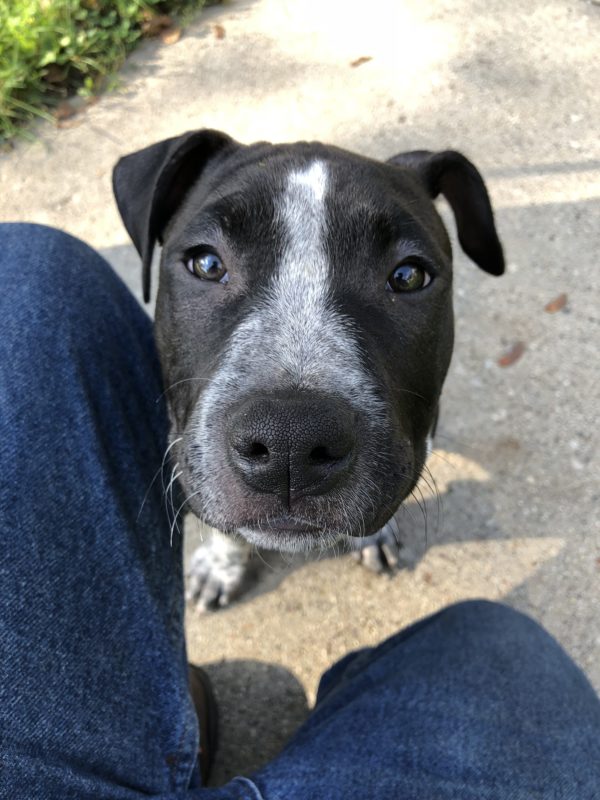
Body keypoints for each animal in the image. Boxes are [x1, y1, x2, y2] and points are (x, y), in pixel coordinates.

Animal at [111, 130, 502, 608]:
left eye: (408, 275)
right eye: (206, 263)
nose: (289, 444)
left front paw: (371, 537)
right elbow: (223, 524)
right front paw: (220, 565)